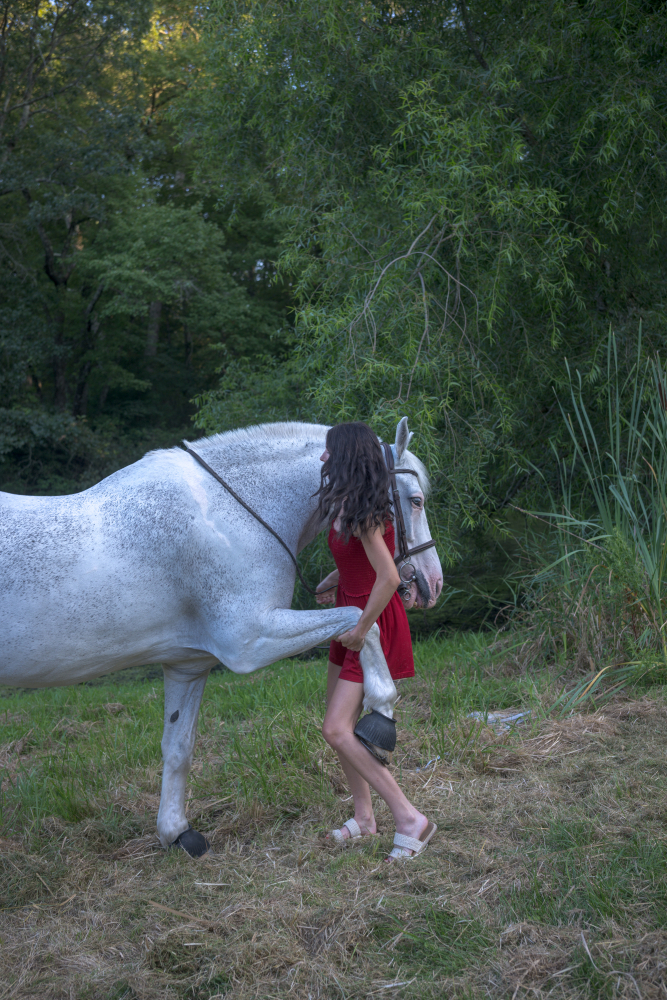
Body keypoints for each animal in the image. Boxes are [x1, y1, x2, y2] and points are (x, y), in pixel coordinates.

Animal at [0, 418, 443, 855]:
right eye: (416, 500)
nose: (432, 584)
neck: (228, 512)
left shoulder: (187, 665)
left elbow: (178, 748)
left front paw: (176, 832)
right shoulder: (249, 641)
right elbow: (358, 621)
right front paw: (381, 714)